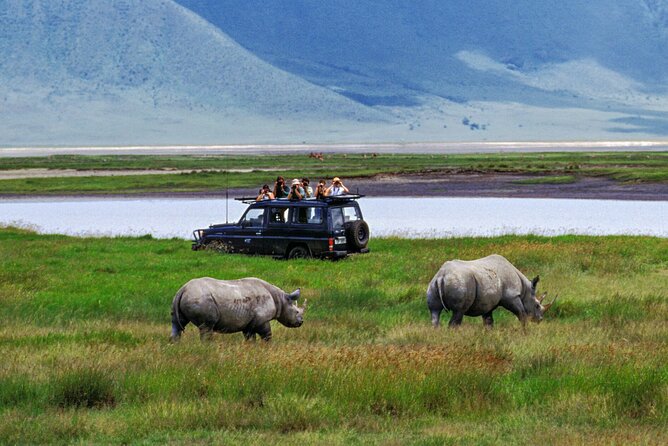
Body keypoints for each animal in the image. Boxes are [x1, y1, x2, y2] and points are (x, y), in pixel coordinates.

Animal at [170, 277, 306, 342]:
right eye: (296, 311)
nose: (301, 322)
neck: (281, 299)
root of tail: (183, 289)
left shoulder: (249, 323)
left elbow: (250, 338)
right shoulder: (262, 320)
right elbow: (267, 335)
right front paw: (267, 348)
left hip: (178, 298)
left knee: (177, 324)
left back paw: (175, 346)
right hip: (200, 298)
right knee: (206, 327)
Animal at [427, 254, 557, 328]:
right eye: (537, 305)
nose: (540, 320)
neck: (526, 289)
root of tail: (442, 276)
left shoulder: (487, 303)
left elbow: (488, 321)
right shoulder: (512, 296)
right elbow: (521, 314)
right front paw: (525, 332)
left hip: (433, 284)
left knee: (435, 312)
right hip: (461, 282)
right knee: (459, 311)